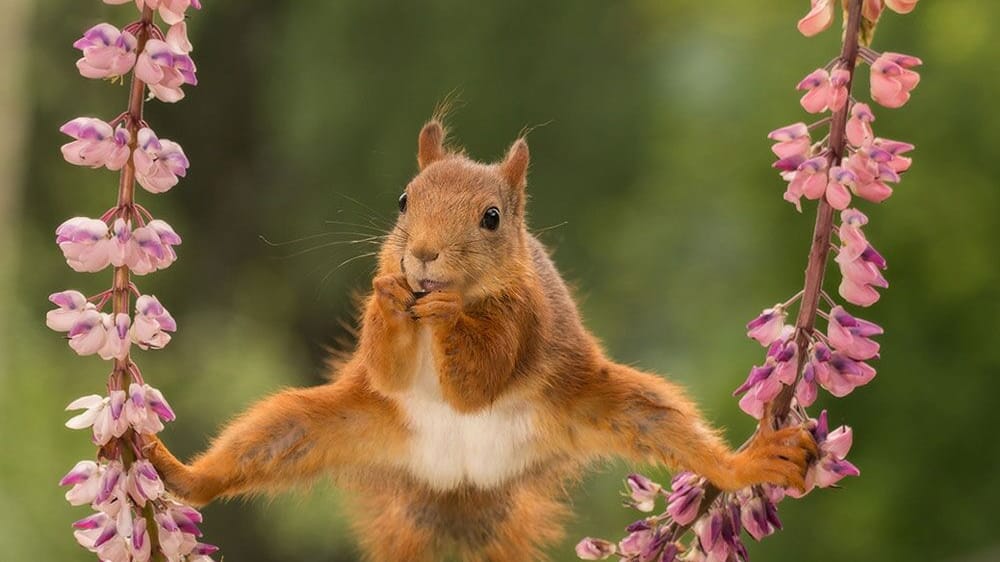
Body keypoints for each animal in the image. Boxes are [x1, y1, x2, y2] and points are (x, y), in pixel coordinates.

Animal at [150, 120, 820, 556]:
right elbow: (387, 366)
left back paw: (749, 462)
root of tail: (462, 481)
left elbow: (480, 380)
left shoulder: (525, 321)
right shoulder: (388, 355)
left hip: (607, 404)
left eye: (491, 218)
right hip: (324, 425)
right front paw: (389, 295)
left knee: (673, 430)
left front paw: (449, 313)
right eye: (403, 200)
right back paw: (175, 471)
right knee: (259, 444)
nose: (421, 256)